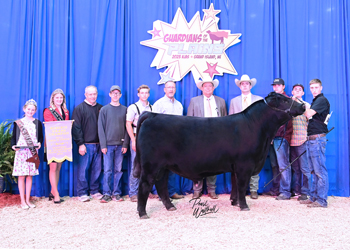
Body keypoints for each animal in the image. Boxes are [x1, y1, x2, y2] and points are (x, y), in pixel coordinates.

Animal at [133, 92, 304, 219]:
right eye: (284, 100)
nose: (302, 105)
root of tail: (152, 114)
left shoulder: (236, 166)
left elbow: (235, 184)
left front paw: (235, 202)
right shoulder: (245, 164)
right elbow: (242, 186)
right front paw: (244, 206)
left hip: (163, 167)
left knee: (161, 185)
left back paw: (170, 207)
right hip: (150, 165)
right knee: (145, 185)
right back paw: (143, 213)